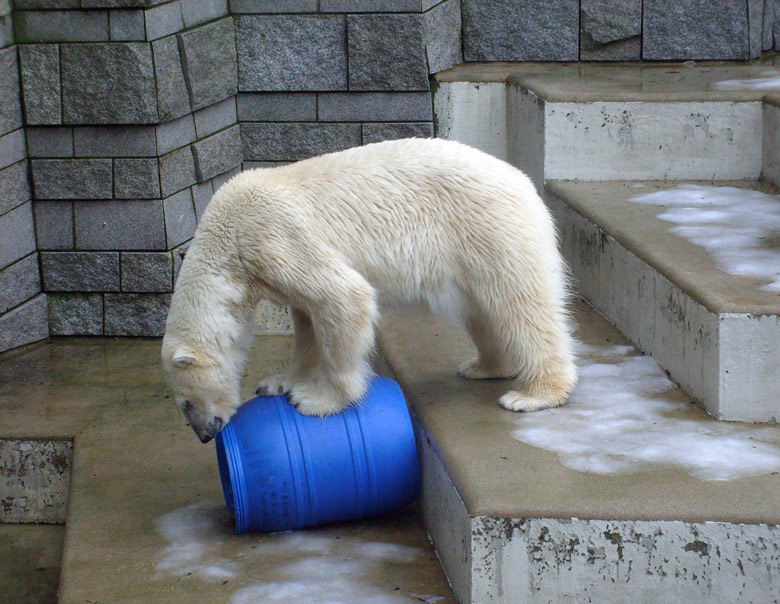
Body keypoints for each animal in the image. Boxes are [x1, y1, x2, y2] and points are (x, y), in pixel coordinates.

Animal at [161, 138, 576, 444]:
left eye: (184, 403)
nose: (204, 435)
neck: (226, 239)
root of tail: (525, 183)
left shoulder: (270, 237)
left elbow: (344, 297)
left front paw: (318, 399)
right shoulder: (268, 268)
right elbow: (307, 319)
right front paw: (279, 382)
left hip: (490, 229)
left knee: (522, 306)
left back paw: (534, 394)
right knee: (484, 312)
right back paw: (483, 366)